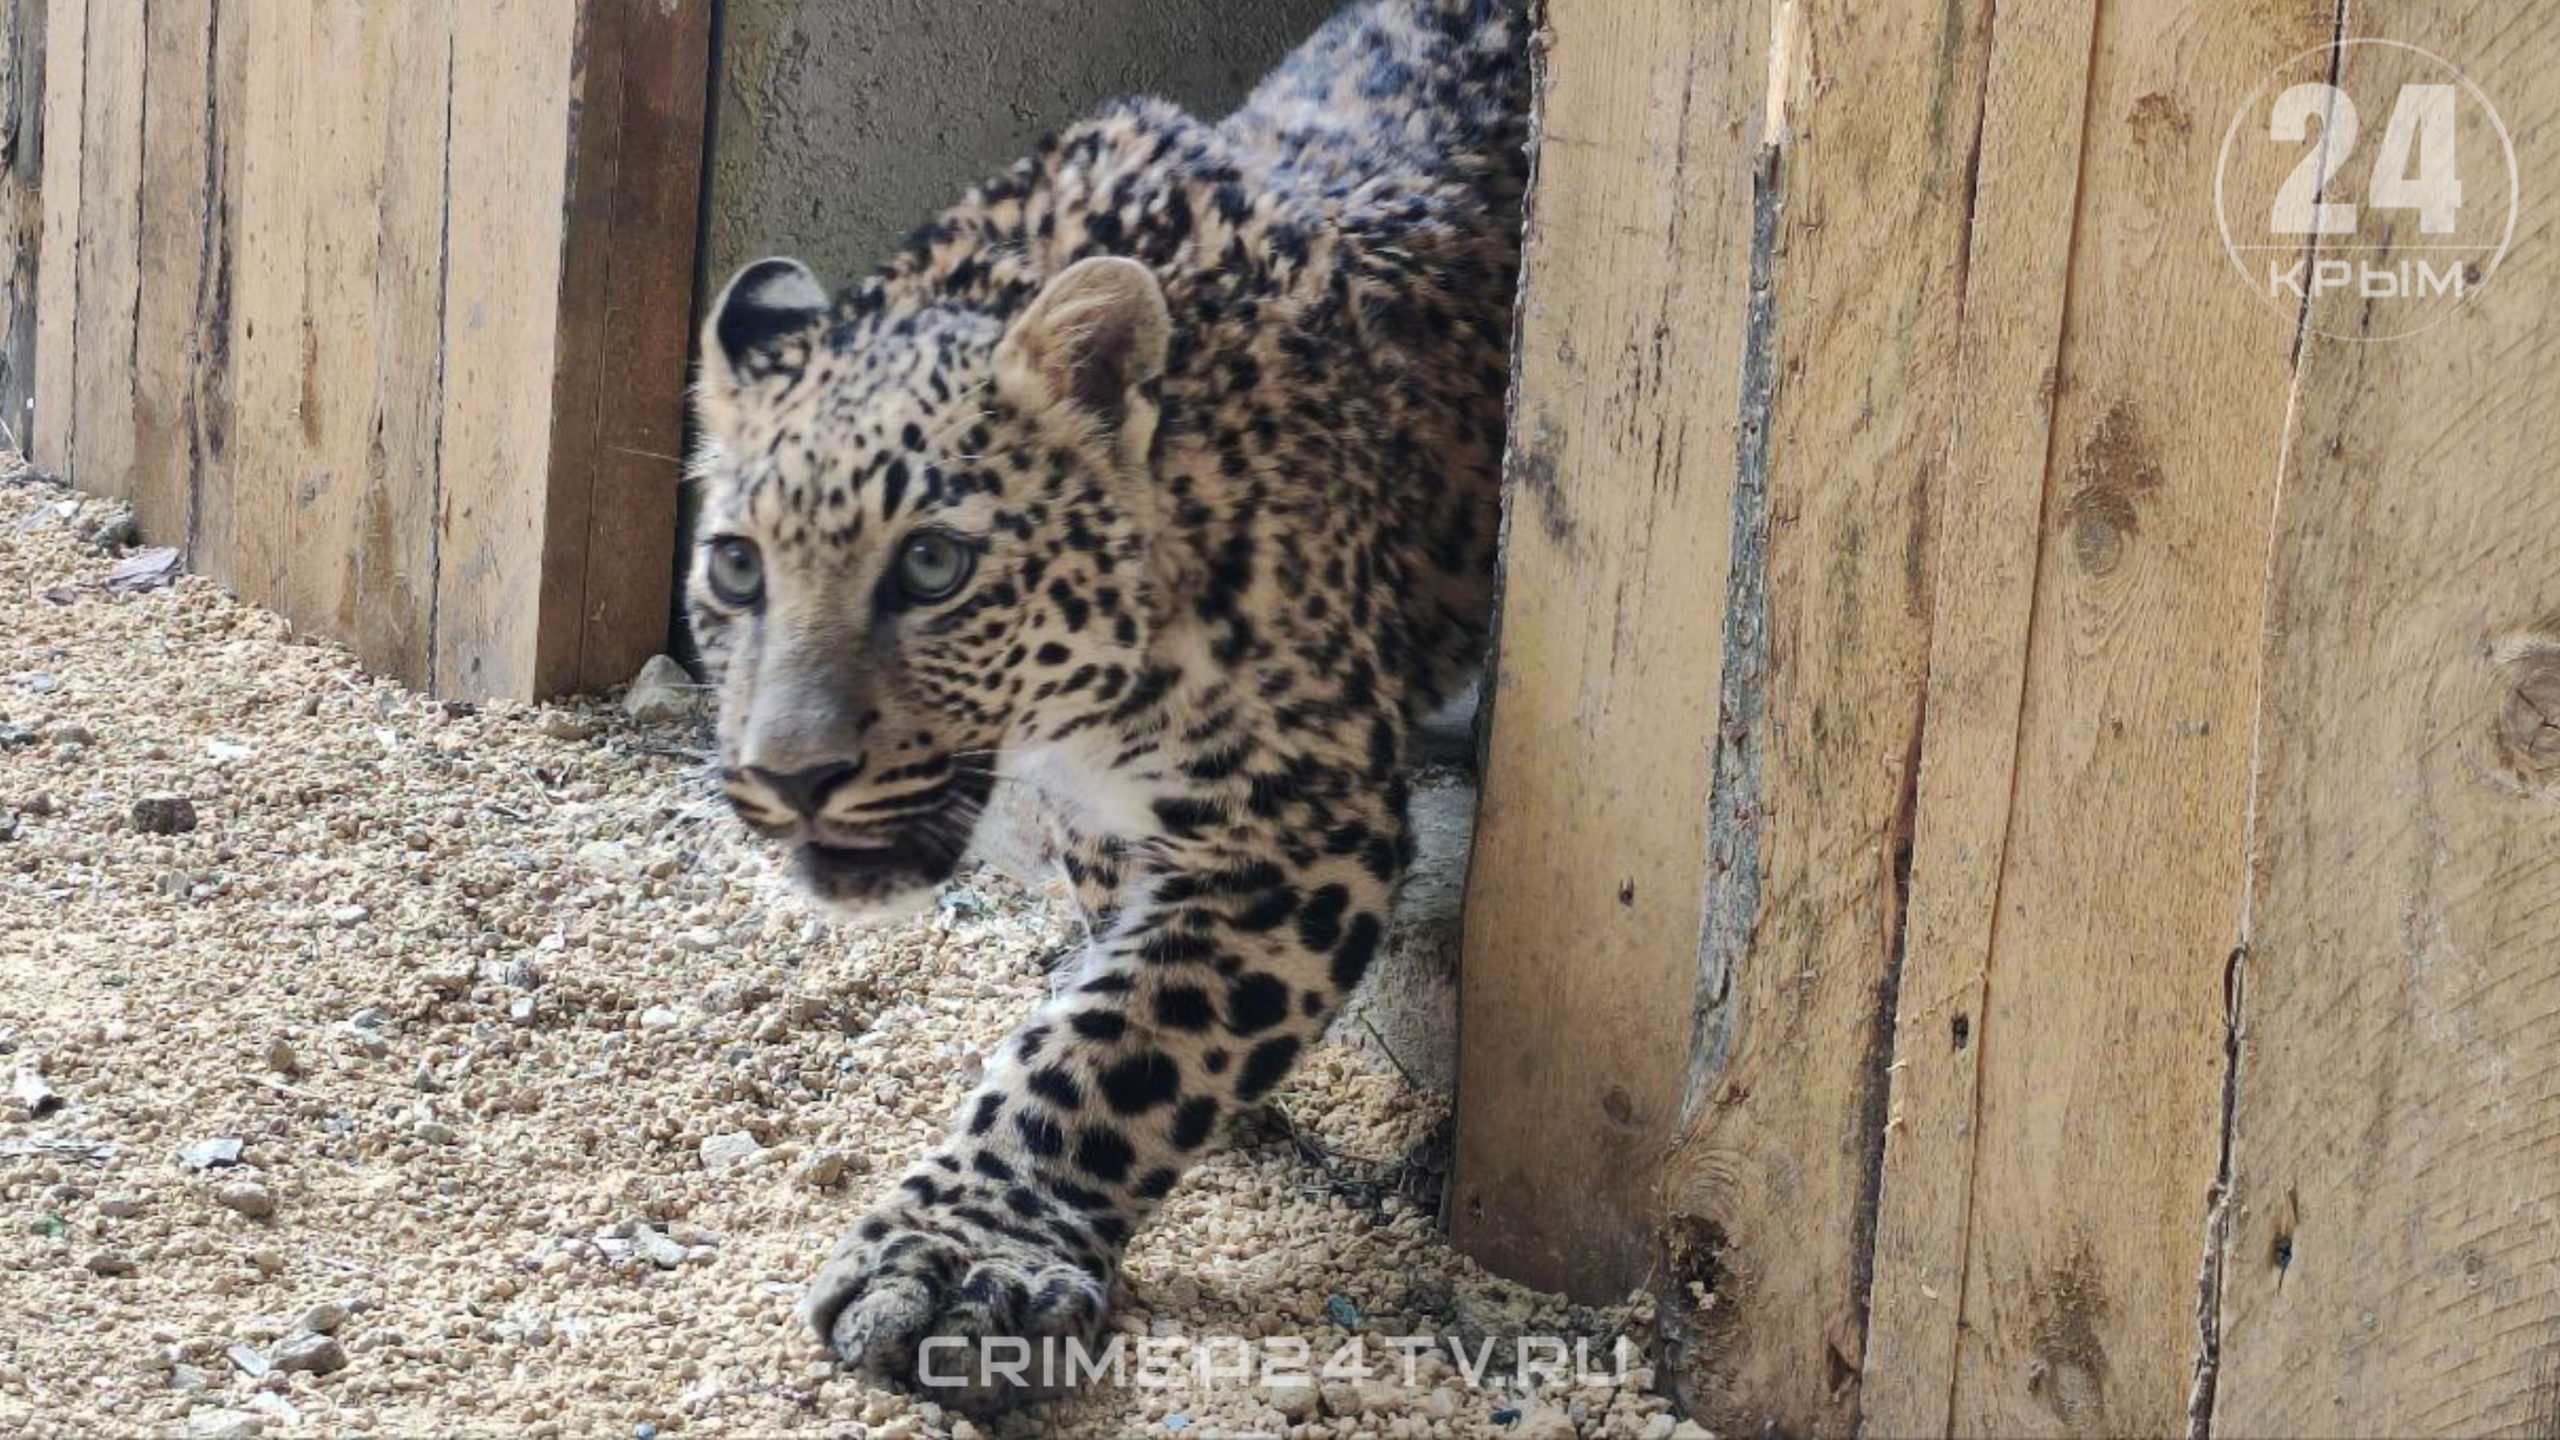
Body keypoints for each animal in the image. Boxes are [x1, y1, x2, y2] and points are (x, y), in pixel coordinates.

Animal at [670, 0, 1525, 1404]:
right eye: (738, 567)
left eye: (932, 564)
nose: (791, 777)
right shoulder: (1107, 820)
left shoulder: (1296, 825)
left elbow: (1119, 1045)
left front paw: (967, 1257)